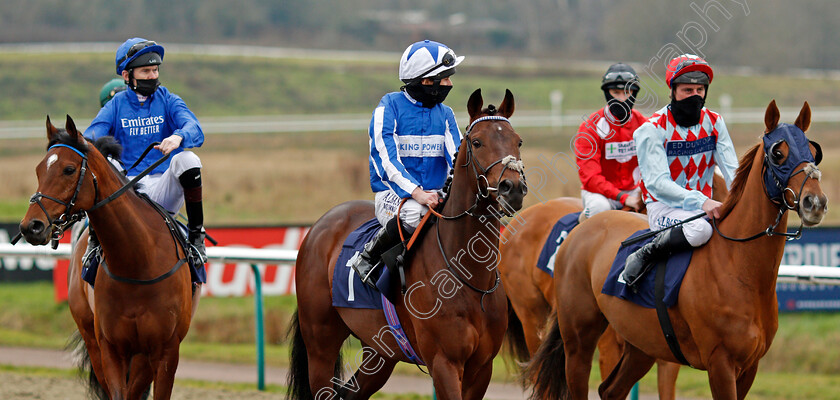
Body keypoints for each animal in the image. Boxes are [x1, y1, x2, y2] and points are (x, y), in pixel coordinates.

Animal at [19, 116, 194, 400]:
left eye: (69, 169)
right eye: (38, 170)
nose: (30, 226)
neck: (137, 262)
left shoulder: (166, 350)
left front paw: (173, 142)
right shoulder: (110, 348)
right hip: (92, 338)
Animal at [288, 89, 524, 398]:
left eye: (517, 140)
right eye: (477, 142)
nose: (513, 188)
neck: (468, 277)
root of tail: (318, 227)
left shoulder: (482, 367)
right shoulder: (444, 362)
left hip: (380, 351)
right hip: (320, 343)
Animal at [528, 101, 832, 400]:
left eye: (812, 151)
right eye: (778, 153)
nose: (815, 202)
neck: (740, 269)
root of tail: (581, 229)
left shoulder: (749, 367)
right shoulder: (720, 362)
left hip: (642, 343)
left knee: (610, 390)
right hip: (578, 340)